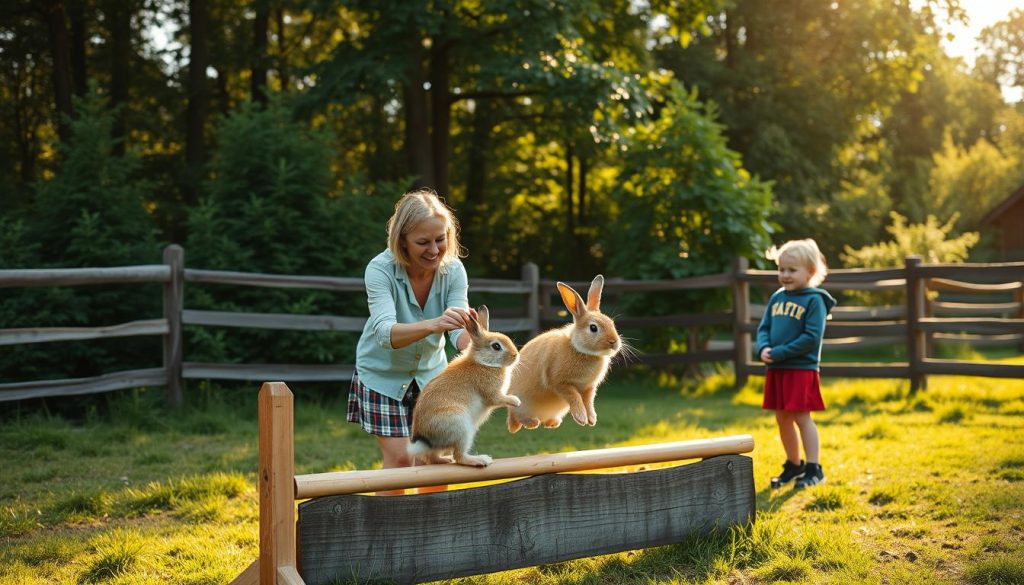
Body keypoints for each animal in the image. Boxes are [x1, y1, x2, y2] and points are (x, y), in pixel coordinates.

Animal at [407, 307, 520, 467]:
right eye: (496, 346)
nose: (515, 355)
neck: (483, 362)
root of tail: (425, 439)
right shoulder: (493, 394)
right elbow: (499, 399)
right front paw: (516, 401)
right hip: (461, 427)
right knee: (459, 456)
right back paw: (481, 460)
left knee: (433, 458)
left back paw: (445, 460)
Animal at [505, 276, 618, 434]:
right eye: (593, 328)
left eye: (612, 323)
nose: (614, 342)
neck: (580, 350)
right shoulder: (561, 383)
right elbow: (575, 397)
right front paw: (581, 418)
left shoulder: (589, 388)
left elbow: (588, 402)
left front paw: (592, 420)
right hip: (521, 404)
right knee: (518, 416)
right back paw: (532, 423)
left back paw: (552, 423)